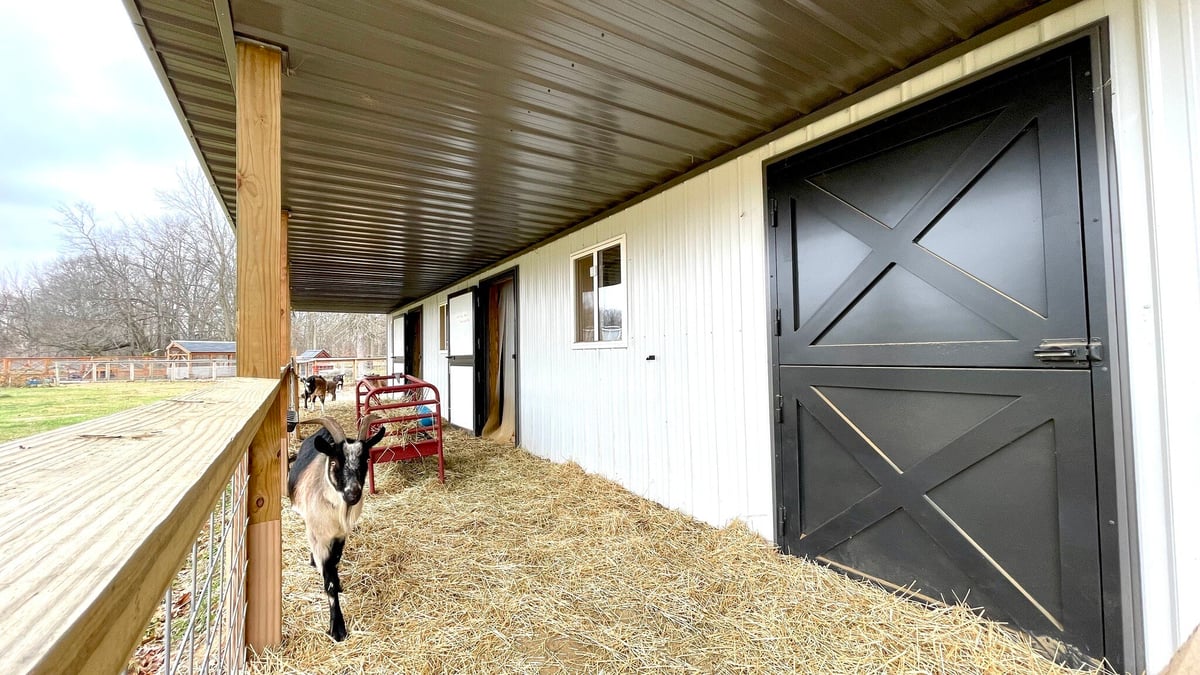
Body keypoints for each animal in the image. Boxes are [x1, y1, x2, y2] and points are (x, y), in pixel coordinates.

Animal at [288, 413, 386, 638]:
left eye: (366, 459)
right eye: (334, 462)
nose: (353, 494)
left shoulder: (341, 535)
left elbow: (335, 562)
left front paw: (339, 583)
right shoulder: (319, 538)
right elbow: (329, 581)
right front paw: (338, 628)